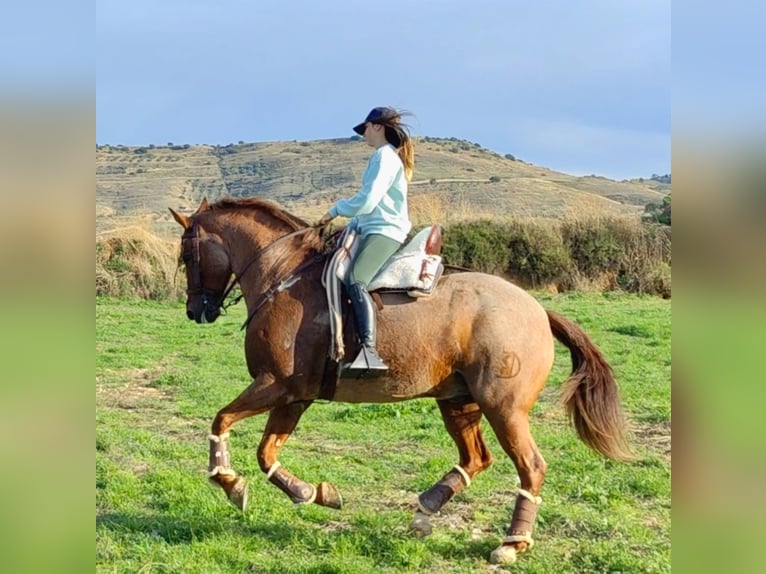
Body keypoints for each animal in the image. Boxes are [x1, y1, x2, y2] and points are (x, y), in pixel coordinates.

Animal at [171, 198, 632, 568]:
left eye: (187, 255)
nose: (196, 310)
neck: (281, 276)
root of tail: (537, 308)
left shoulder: (276, 385)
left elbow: (221, 421)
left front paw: (230, 484)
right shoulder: (295, 397)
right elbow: (266, 453)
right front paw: (312, 492)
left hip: (504, 409)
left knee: (530, 467)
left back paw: (512, 543)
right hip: (458, 401)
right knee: (475, 458)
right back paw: (426, 508)